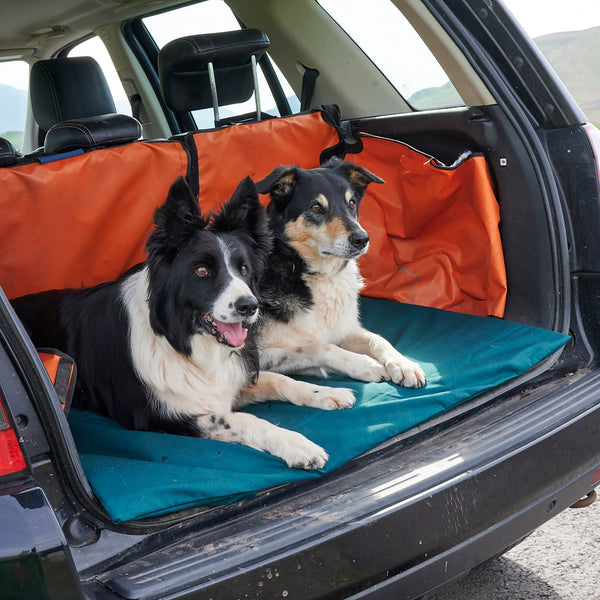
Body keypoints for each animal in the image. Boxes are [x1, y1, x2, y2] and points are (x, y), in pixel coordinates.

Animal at [255, 157, 424, 386]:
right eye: (316, 207)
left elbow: (378, 339)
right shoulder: (256, 355)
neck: (317, 275)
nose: (362, 239)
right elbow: (319, 346)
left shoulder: (346, 329)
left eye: (351, 204)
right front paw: (366, 365)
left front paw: (404, 364)